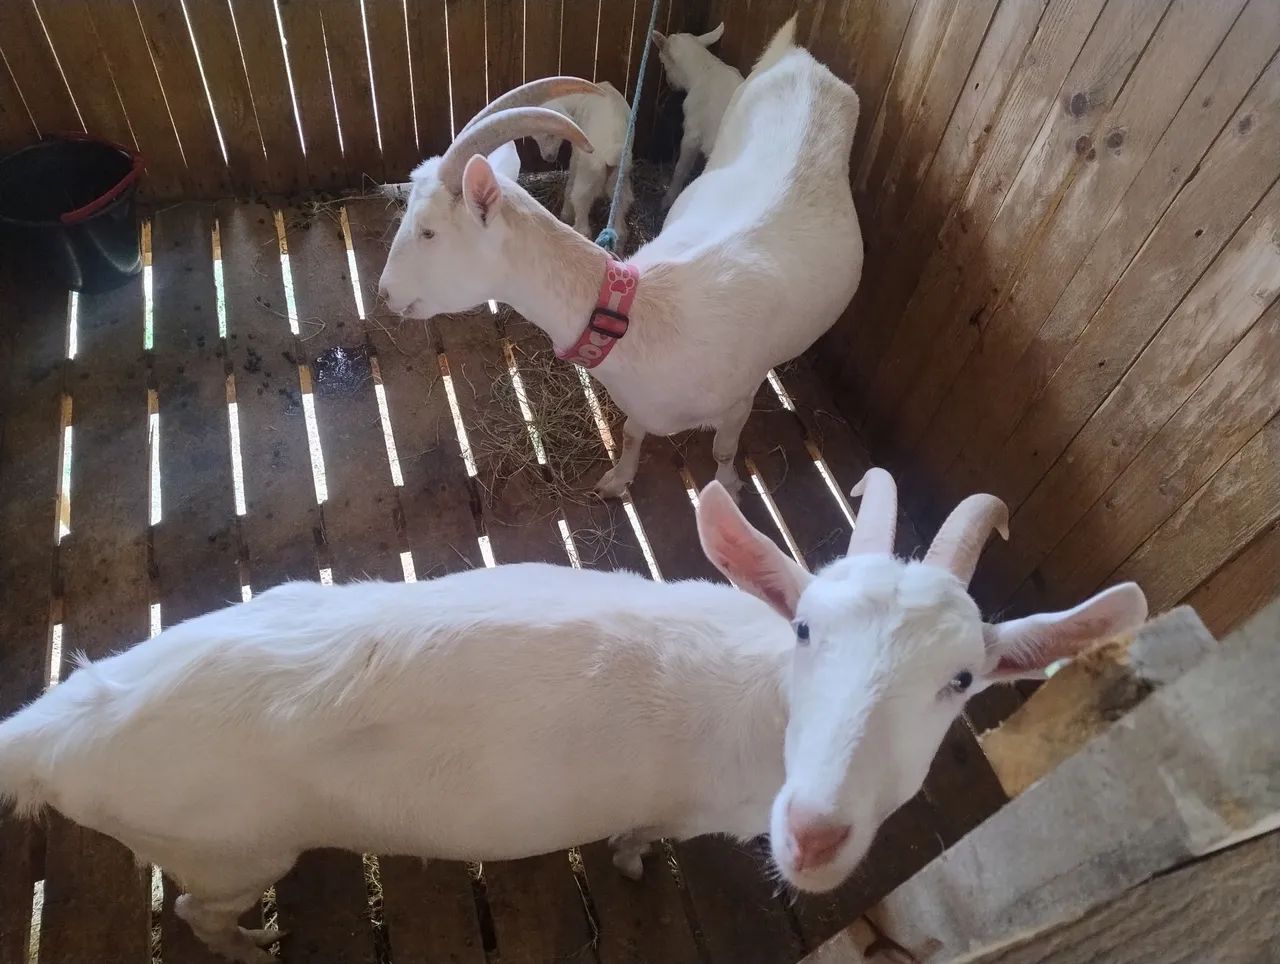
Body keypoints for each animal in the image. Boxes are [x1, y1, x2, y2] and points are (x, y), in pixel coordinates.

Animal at [0, 470, 1147, 963]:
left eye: (962, 680)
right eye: (805, 630)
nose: (813, 831)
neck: (754, 707)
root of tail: (54, 728)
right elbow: (644, 834)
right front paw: (634, 860)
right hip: (227, 845)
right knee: (200, 911)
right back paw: (250, 943)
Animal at [530, 80, 635, 248]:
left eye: (552, 134)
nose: (548, 157)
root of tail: (611, 156)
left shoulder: (577, 151)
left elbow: (570, 181)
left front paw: (565, 214)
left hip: (588, 177)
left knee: (582, 219)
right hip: (620, 183)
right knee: (621, 229)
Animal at [650, 22, 744, 210]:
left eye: (663, 61)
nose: (670, 84)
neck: (703, 70)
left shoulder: (693, 132)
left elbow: (681, 168)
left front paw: (668, 199)